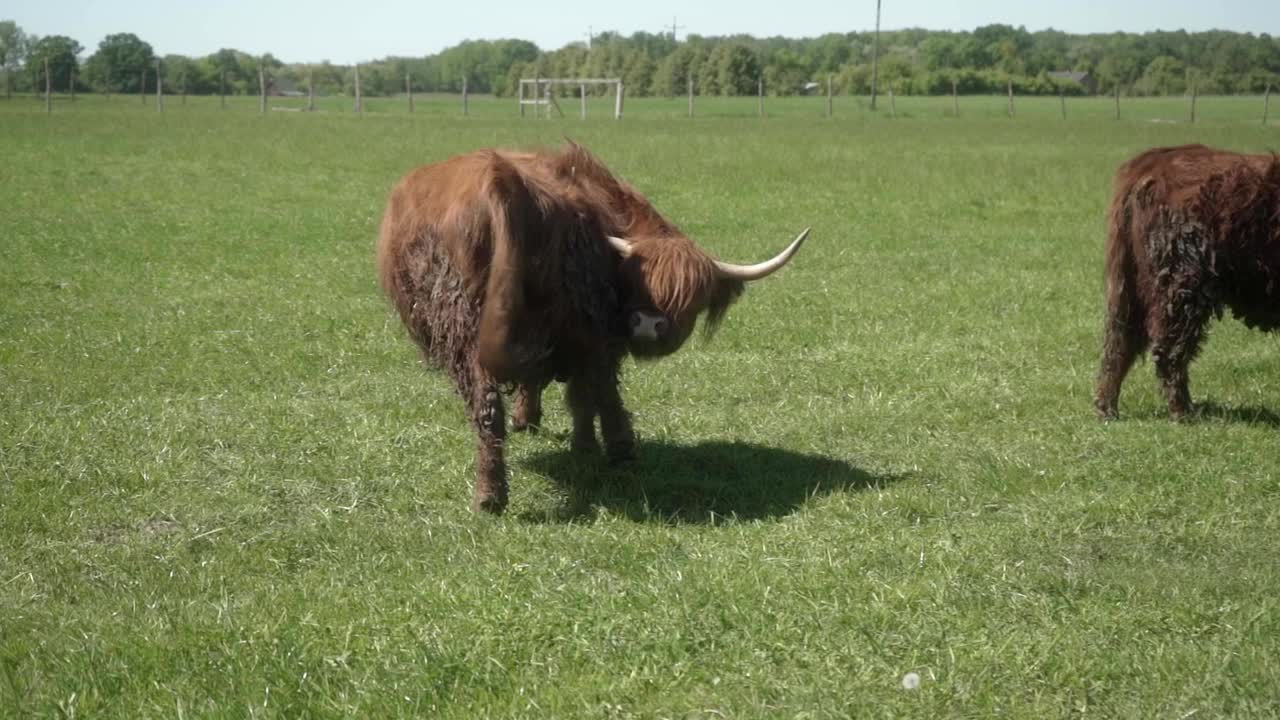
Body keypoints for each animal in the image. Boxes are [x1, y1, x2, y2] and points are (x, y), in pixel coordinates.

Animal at [373, 141, 808, 509]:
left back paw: (490, 495)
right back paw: (616, 451)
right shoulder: (592, 331)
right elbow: (587, 391)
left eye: (693, 298)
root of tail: (497, 178)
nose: (648, 324)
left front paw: (538, 424)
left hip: (468, 330)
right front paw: (583, 443)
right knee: (591, 388)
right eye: (638, 281)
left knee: (488, 408)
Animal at [1095, 142, 1280, 417]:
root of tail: (1152, 161)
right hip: (1183, 284)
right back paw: (1183, 411)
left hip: (1131, 284)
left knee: (1119, 341)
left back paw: (1107, 408)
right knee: (1169, 351)